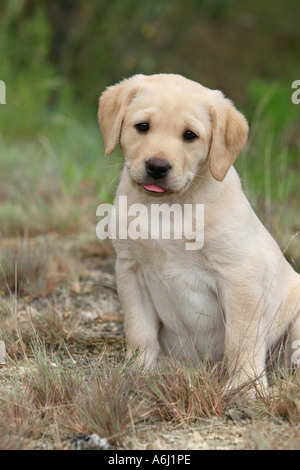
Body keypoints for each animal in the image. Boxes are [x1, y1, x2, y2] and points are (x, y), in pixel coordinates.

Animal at [99, 73, 300, 390]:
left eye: (190, 135)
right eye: (142, 127)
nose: (157, 167)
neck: (168, 207)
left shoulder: (238, 276)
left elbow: (241, 340)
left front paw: (246, 387)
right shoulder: (130, 269)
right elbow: (139, 331)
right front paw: (137, 372)